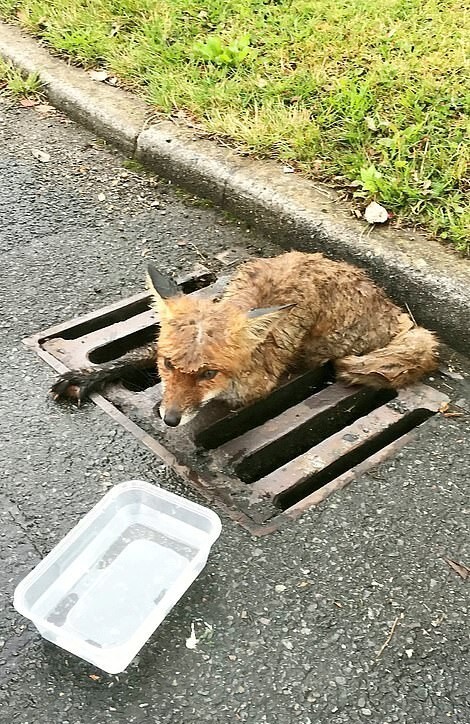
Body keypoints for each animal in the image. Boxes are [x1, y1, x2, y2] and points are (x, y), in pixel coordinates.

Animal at [49, 252, 438, 428]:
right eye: (169, 365)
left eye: (209, 374)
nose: (170, 420)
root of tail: (395, 311)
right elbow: (132, 357)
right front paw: (87, 377)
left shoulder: (253, 391)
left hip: (326, 346)